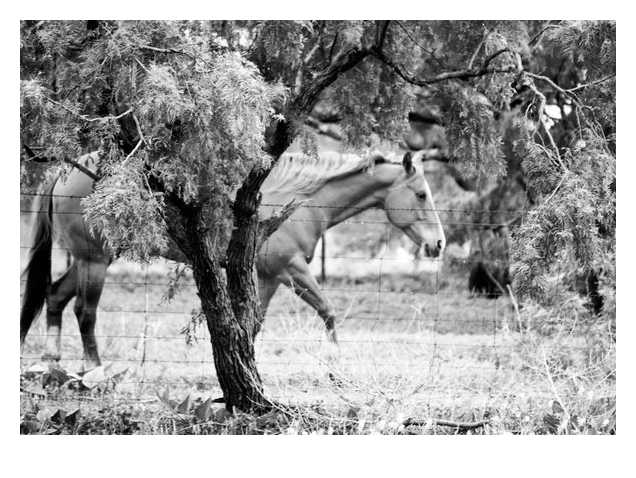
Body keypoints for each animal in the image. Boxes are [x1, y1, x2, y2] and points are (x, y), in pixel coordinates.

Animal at [21, 149, 448, 370]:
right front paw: (334, 359)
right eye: (422, 194)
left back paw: (51, 362)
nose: (439, 244)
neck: (301, 200)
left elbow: (252, 325)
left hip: (90, 260)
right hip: (94, 261)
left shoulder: (269, 277)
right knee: (84, 311)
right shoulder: (291, 270)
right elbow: (327, 310)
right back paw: (93, 369)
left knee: (55, 298)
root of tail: (67, 171)